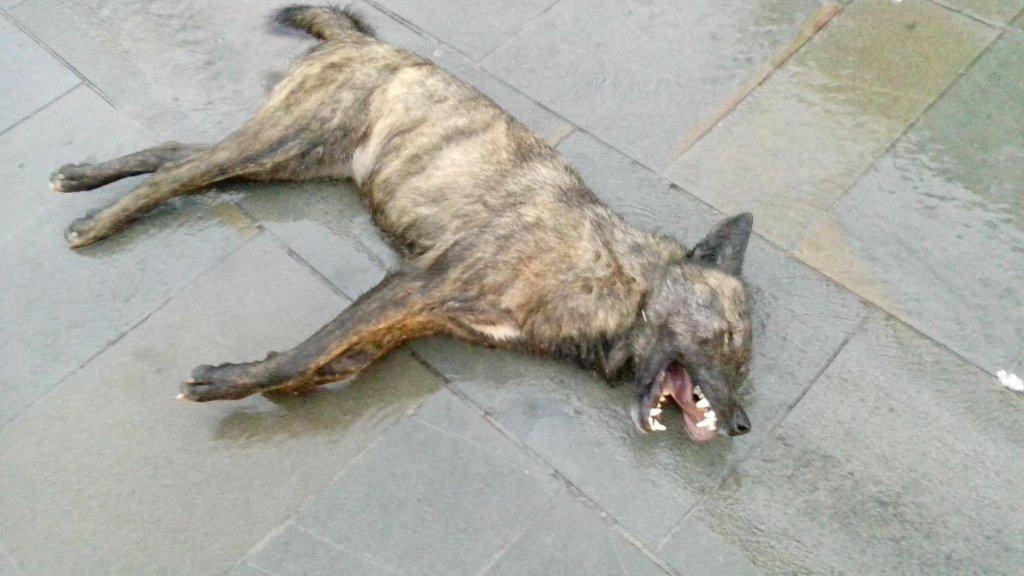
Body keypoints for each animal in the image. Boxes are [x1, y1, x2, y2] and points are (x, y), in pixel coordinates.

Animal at [49, 5, 753, 441]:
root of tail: (359, 38)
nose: (742, 425)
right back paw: (97, 220)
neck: (618, 279)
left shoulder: (420, 312)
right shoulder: (414, 283)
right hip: (289, 137)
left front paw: (283, 377)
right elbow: (312, 349)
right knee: (181, 172)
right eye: (727, 341)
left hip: (293, 158)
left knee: (181, 157)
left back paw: (84, 178)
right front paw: (231, 381)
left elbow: (336, 358)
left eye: (742, 361)